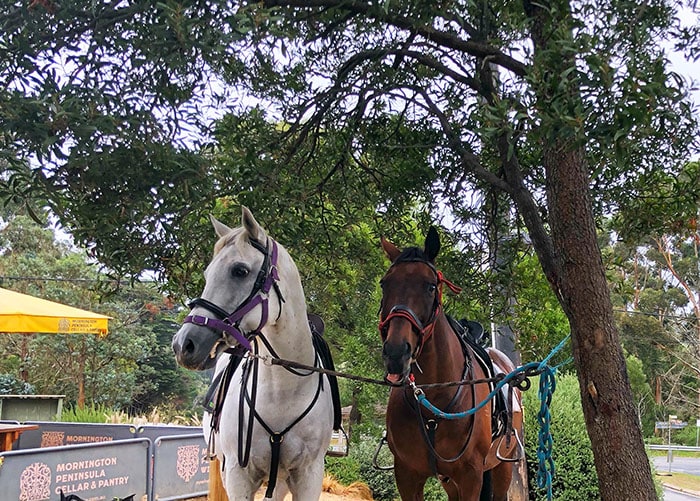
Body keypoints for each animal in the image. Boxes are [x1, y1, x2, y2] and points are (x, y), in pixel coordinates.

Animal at [170, 205, 334, 498]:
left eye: (240, 271)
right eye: (207, 274)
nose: (184, 344)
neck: (283, 392)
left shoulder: (308, 476)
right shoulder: (238, 474)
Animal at [378, 228, 520, 500]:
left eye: (431, 286)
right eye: (385, 283)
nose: (396, 352)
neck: (433, 399)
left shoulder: (470, 476)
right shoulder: (407, 475)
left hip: (502, 467)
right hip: (448, 481)